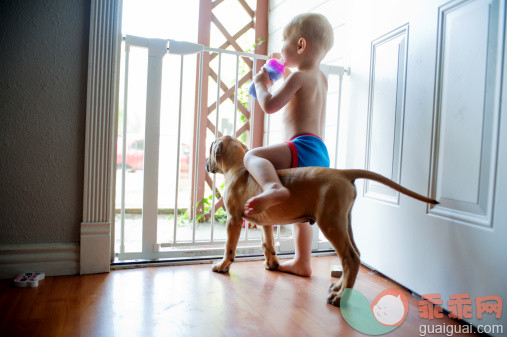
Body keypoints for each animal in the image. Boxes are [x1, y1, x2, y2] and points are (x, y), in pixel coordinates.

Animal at [205, 135, 436, 306]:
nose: (206, 164)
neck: (239, 168)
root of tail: (342, 174)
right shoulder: (267, 223)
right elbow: (267, 244)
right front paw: (272, 264)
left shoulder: (233, 219)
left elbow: (229, 246)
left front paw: (223, 265)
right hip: (344, 222)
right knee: (354, 255)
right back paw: (338, 287)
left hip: (330, 223)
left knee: (350, 258)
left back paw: (340, 297)